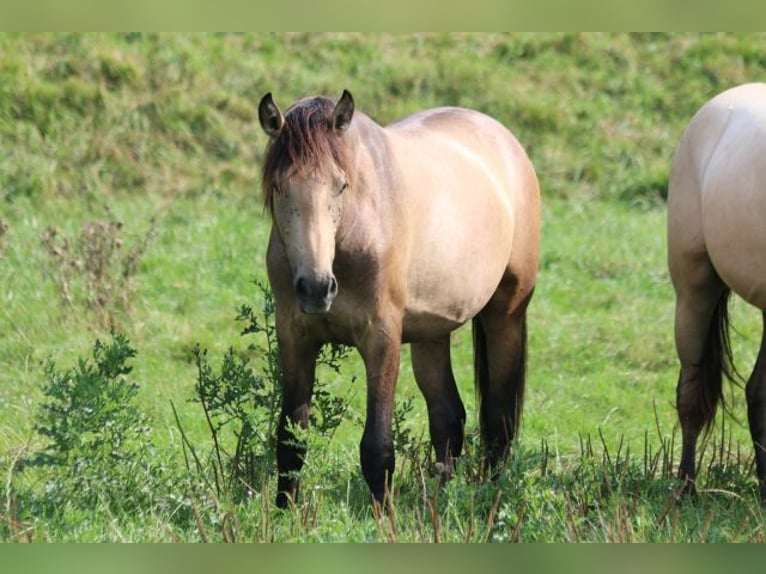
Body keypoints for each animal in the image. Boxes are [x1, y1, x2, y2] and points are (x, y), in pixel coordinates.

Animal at [260, 92, 544, 510]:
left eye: (341, 186)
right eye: (280, 187)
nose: (316, 288)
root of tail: (506, 142)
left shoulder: (382, 337)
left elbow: (377, 448)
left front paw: (384, 517)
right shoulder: (295, 336)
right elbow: (291, 440)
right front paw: (285, 514)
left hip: (505, 312)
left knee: (498, 418)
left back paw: (490, 496)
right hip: (432, 333)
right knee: (448, 416)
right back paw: (438, 502)